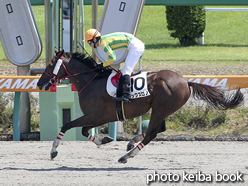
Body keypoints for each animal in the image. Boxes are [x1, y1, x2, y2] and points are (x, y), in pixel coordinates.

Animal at [37, 50, 244, 163]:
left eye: (50, 65)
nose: (40, 83)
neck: (91, 81)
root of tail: (186, 81)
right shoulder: (97, 117)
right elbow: (83, 131)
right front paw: (105, 140)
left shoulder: (94, 115)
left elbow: (67, 125)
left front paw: (53, 151)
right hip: (163, 109)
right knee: (159, 129)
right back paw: (131, 143)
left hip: (160, 108)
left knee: (152, 132)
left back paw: (127, 156)